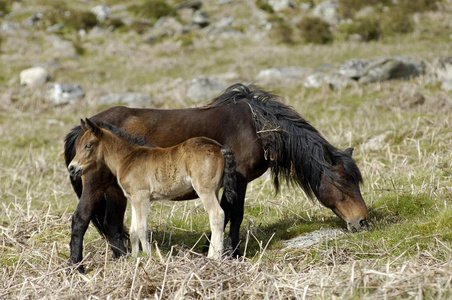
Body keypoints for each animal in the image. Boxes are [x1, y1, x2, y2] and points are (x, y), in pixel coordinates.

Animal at [69, 118, 237, 258]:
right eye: (77, 146)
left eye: (88, 145)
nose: (72, 168)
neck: (127, 158)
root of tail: (219, 148)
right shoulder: (133, 199)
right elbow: (133, 230)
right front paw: (135, 258)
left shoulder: (141, 197)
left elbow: (142, 229)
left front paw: (149, 256)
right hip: (214, 190)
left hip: (205, 190)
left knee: (217, 215)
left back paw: (213, 257)